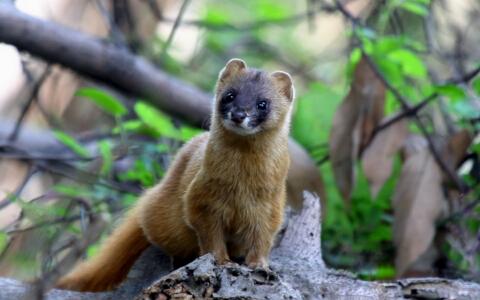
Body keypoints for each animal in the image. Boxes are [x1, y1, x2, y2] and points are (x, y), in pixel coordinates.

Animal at [57, 58, 296, 290]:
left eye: (262, 103)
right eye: (230, 94)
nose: (238, 114)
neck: (241, 185)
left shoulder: (270, 206)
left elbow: (263, 238)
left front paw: (259, 265)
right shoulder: (201, 198)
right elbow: (210, 236)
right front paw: (222, 261)